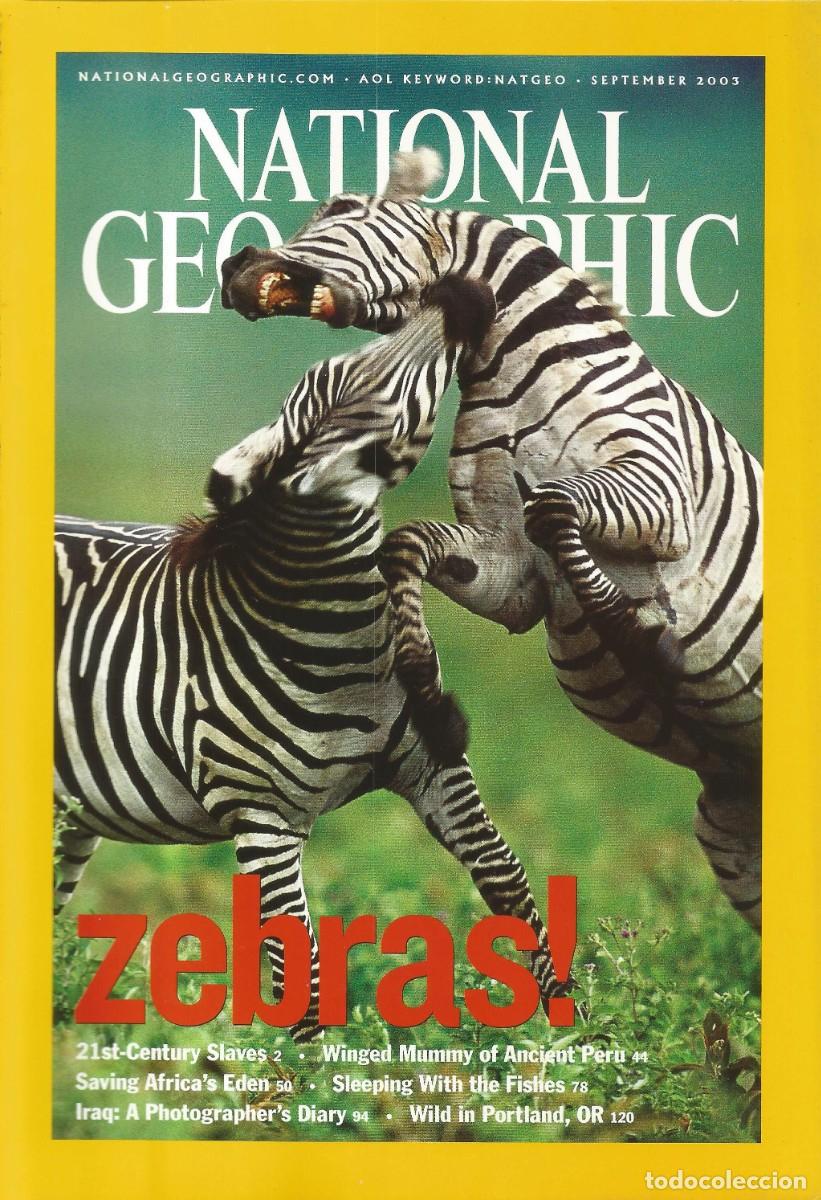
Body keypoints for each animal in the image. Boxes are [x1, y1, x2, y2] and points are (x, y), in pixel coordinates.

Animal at [54, 281, 561, 1040]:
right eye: (375, 401)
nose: (460, 291)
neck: (336, 638)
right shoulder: (260, 818)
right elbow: (298, 961)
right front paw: (307, 1070)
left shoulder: (433, 763)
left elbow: (506, 877)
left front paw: (570, 1021)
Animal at [220, 149, 763, 930]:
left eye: (343, 207)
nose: (235, 265)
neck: (518, 372)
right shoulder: (510, 569)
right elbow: (406, 546)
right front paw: (426, 688)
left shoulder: (659, 490)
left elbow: (556, 508)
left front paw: (636, 636)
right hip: (730, 830)